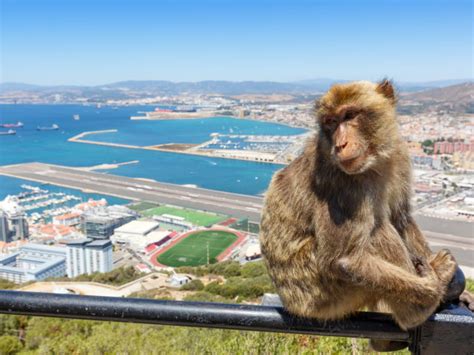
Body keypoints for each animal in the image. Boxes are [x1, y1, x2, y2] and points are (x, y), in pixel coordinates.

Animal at [262, 80, 472, 350]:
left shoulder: (399, 154)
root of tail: (290, 302)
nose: (340, 145)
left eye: (350, 115)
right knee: (377, 231)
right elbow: (345, 259)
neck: (375, 163)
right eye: (330, 122)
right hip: (318, 293)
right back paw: (414, 311)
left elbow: (401, 218)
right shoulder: (342, 183)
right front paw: (432, 287)